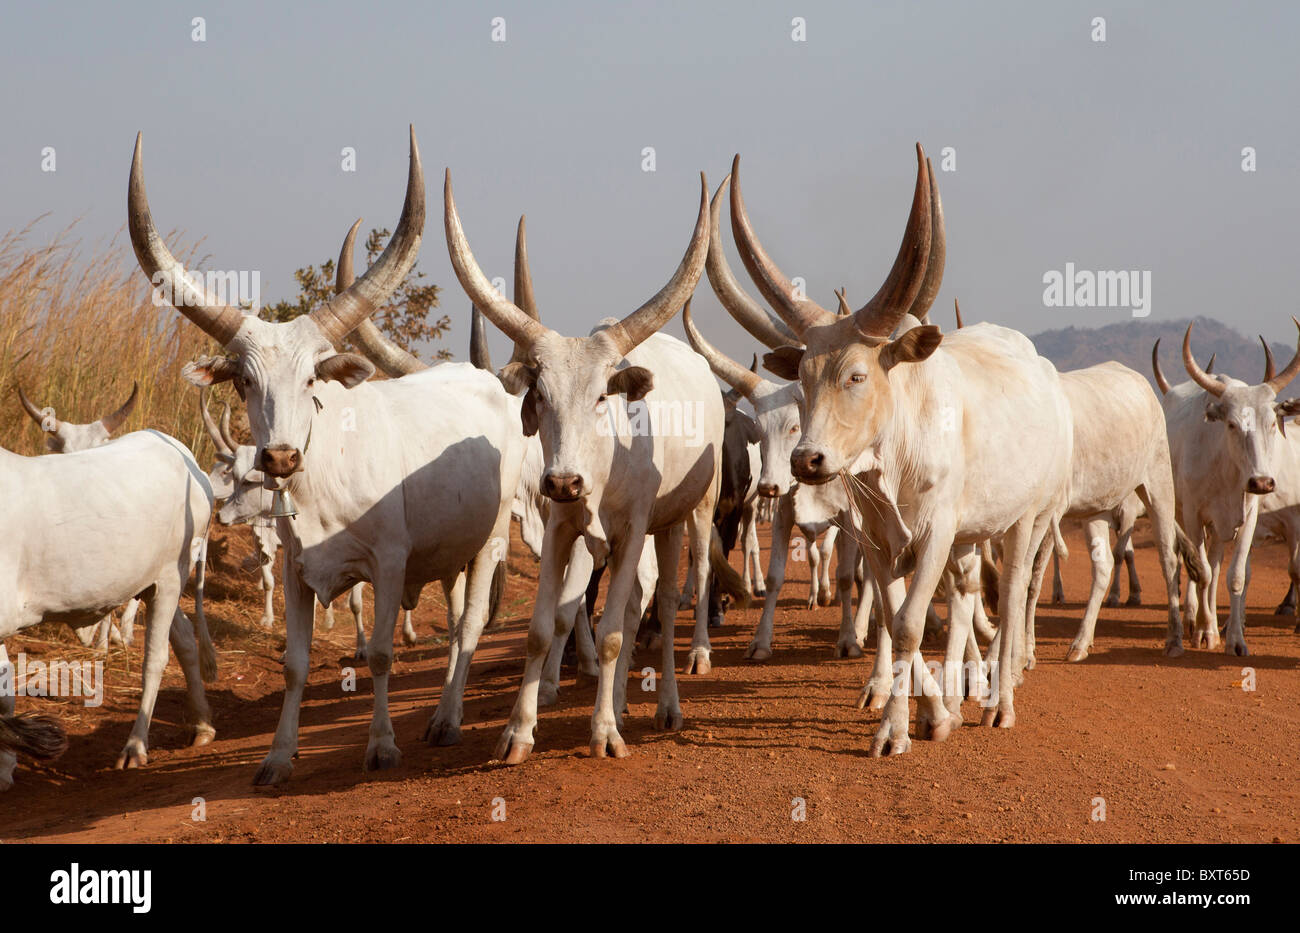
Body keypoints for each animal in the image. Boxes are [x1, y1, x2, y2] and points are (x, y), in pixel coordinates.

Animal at [0, 434, 213, 790]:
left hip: (171, 576)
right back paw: (203, 726)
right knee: (184, 639)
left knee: (155, 660)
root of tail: (184, 456)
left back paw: (135, 747)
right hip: (153, 586)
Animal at [128, 126, 522, 779]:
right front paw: (277, 757)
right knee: (457, 619)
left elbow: (382, 653)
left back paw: (447, 720)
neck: (321, 486)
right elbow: (294, 664)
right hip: (453, 554)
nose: (281, 459)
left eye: (313, 378)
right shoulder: (295, 571)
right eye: (243, 381)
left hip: (489, 542)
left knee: (469, 628)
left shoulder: (388, 562)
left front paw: (382, 744)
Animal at [447, 171, 722, 764]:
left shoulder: (634, 527)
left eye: (601, 397)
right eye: (540, 395)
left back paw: (667, 703)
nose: (563, 480)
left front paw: (603, 734)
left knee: (670, 603)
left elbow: (616, 633)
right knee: (638, 604)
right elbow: (542, 628)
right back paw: (617, 702)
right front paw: (518, 732)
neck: (602, 468)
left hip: (683, 517)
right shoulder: (560, 526)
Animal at [1149, 331, 1300, 657]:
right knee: (1191, 565)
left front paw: (1235, 640)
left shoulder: (1249, 517)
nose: (1262, 482)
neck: (1227, 470)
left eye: (1271, 423)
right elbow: (1202, 572)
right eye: (1232, 424)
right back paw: (1193, 622)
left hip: (1218, 528)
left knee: (1216, 565)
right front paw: (1205, 631)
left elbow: (1235, 576)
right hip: (1181, 514)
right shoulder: (1193, 516)